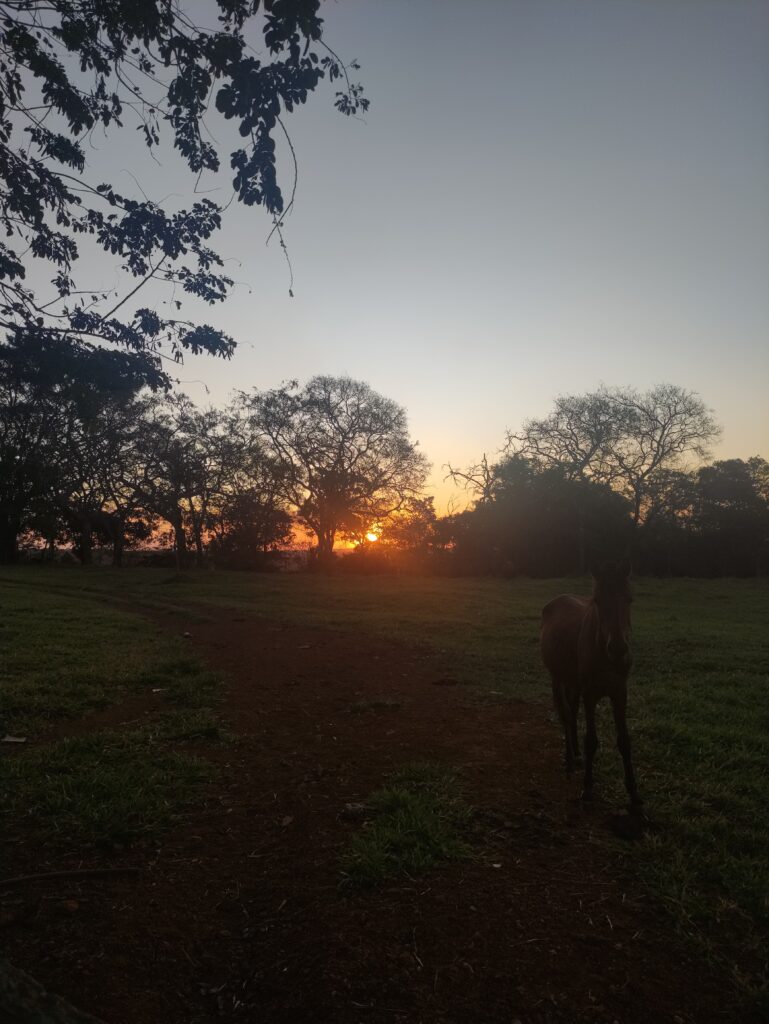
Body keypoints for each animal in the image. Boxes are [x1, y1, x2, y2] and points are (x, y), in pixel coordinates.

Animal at [540, 561, 643, 806]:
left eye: (629, 599)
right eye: (597, 600)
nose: (617, 648)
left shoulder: (619, 693)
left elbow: (624, 741)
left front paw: (633, 793)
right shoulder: (590, 694)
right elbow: (592, 741)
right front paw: (587, 788)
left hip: (573, 684)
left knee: (572, 711)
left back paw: (576, 754)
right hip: (557, 678)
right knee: (565, 714)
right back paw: (569, 758)